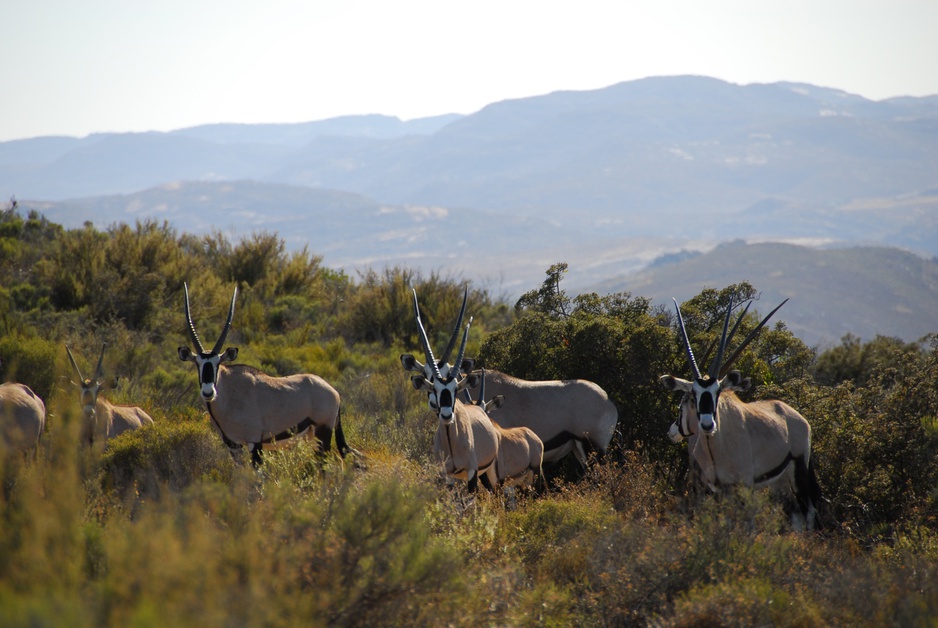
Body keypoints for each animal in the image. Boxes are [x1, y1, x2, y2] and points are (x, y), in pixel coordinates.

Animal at [176, 282, 352, 464]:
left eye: (218, 363)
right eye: (198, 364)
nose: (208, 392)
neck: (230, 393)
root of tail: (333, 391)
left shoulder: (255, 442)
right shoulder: (233, 446)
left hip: (323, 432)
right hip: (312, 436)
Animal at [660, 298, 820, 528]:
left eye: (717, 393)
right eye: (693, 394)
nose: (707, 425)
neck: (715, 448)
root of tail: (798, 418)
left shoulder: (742, 487)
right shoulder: (715, 488)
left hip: (799, 473)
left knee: (809, 512)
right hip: (779, 482)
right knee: (795, 516)